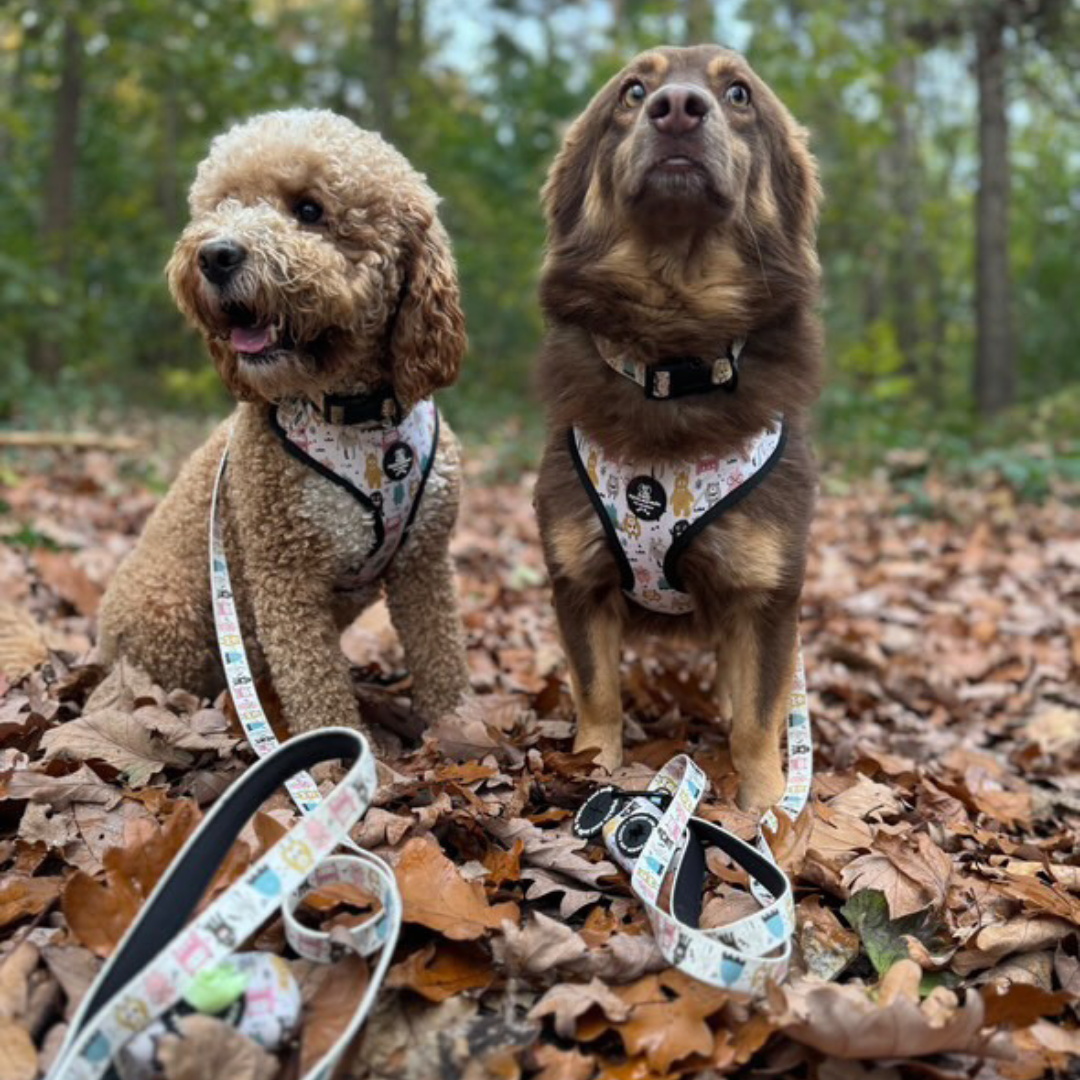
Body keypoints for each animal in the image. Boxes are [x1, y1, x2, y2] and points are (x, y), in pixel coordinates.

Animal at [100, 107, 468, 734]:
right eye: (223, 204)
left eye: (309, 210)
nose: (215, 254)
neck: (360, 420)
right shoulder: (285, 576)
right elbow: (317, 689)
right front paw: (339, 757)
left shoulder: (424, 561)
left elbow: (442, 659)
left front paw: (465, 731)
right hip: (169, 618)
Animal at [535, 48, 820, 812]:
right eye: (634, 92)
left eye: (739, 93)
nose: (678, 109)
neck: (673, 360)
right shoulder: (578, 579)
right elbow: (598, 694)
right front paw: (594, 769)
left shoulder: (766, 596)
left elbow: (758, 717)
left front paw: (765, 806)